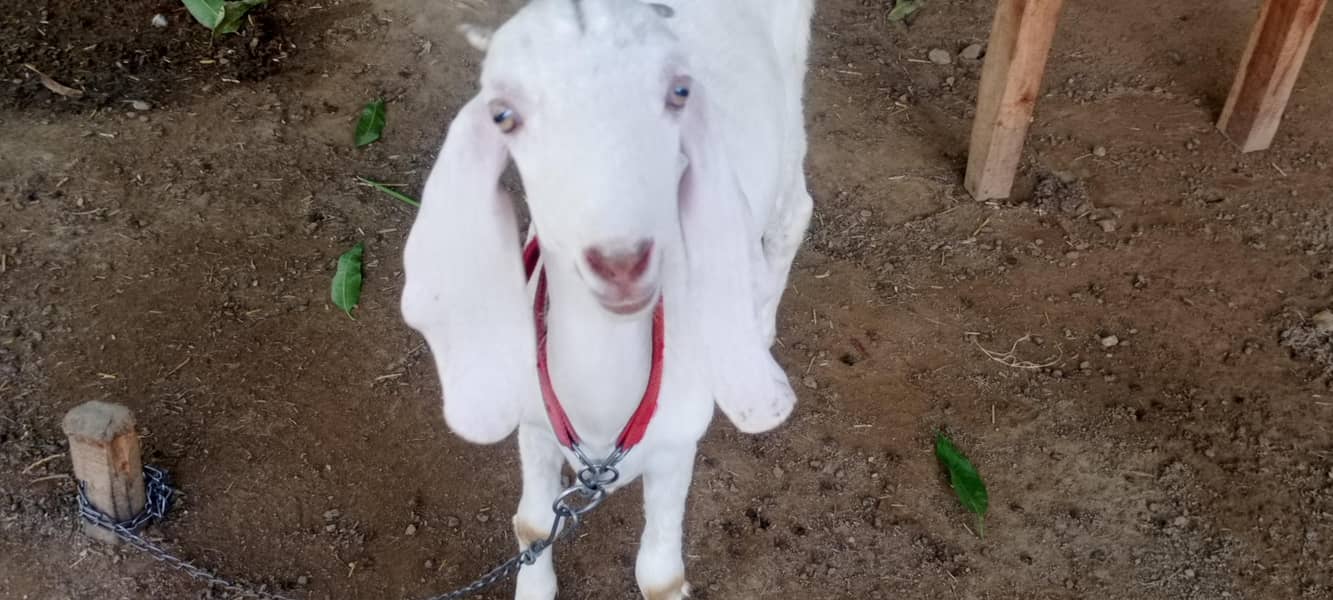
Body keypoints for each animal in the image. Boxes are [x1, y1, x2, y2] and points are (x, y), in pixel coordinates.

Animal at [401, 1, 815, 598]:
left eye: (679, 92)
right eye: (503, 116)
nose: (621, 261)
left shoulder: (677, 443)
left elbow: (659, 574)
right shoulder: (534, 424)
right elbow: (531, 524)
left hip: (790, 102)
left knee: (794, 210)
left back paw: (758, 325)